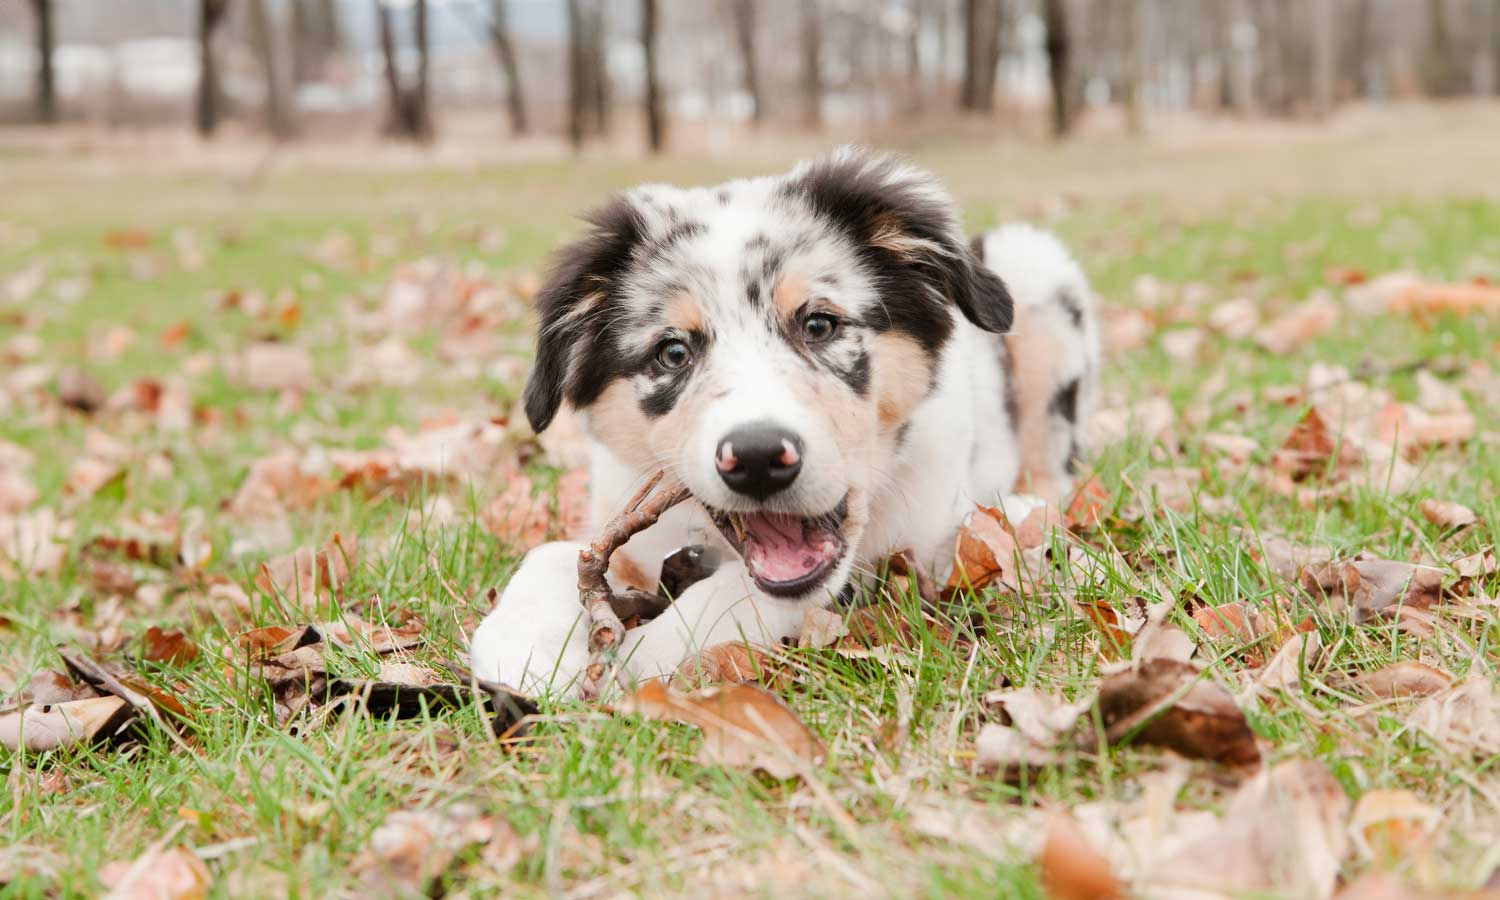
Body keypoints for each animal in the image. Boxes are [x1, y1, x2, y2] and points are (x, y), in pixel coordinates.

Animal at [474, 147, 1098, 696]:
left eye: (819, 325)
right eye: (672, 353)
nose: (756, 459)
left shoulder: (921, 538)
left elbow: (749, 594)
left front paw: (640, 657)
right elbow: (551, 556)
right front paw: (524, 655)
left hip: (1038, 274)